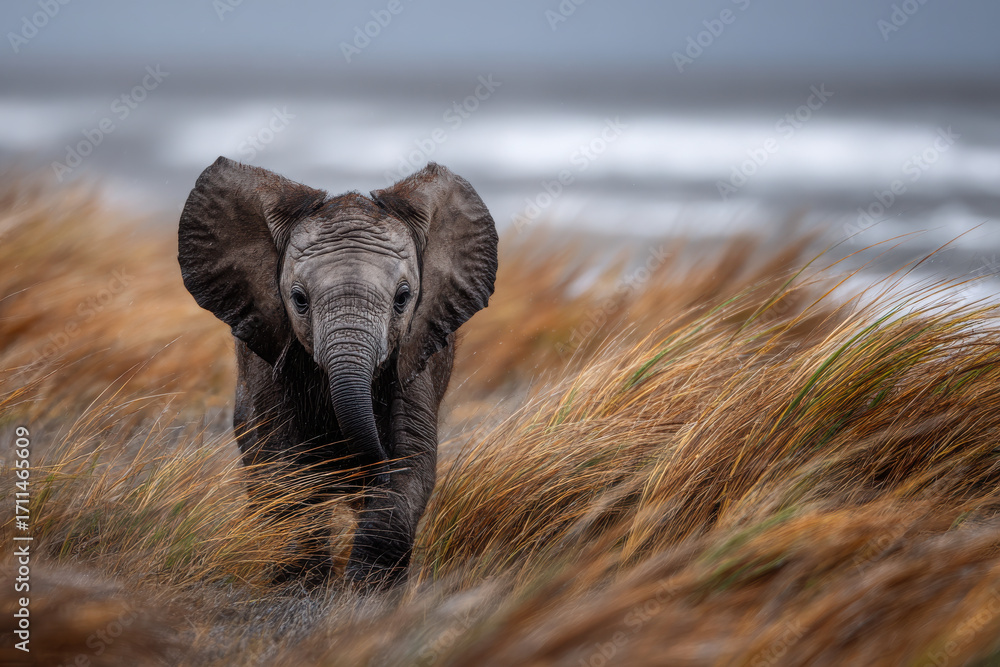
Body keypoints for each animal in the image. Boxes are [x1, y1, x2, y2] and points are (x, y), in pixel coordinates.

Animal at [177, 157, 498, 589]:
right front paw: (301, 585)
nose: (371, 469)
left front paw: (367, 591)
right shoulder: (268, 356)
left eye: (403, 298)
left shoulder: (414, 356)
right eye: (298, 299)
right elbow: (281, 465)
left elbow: (411, 460)